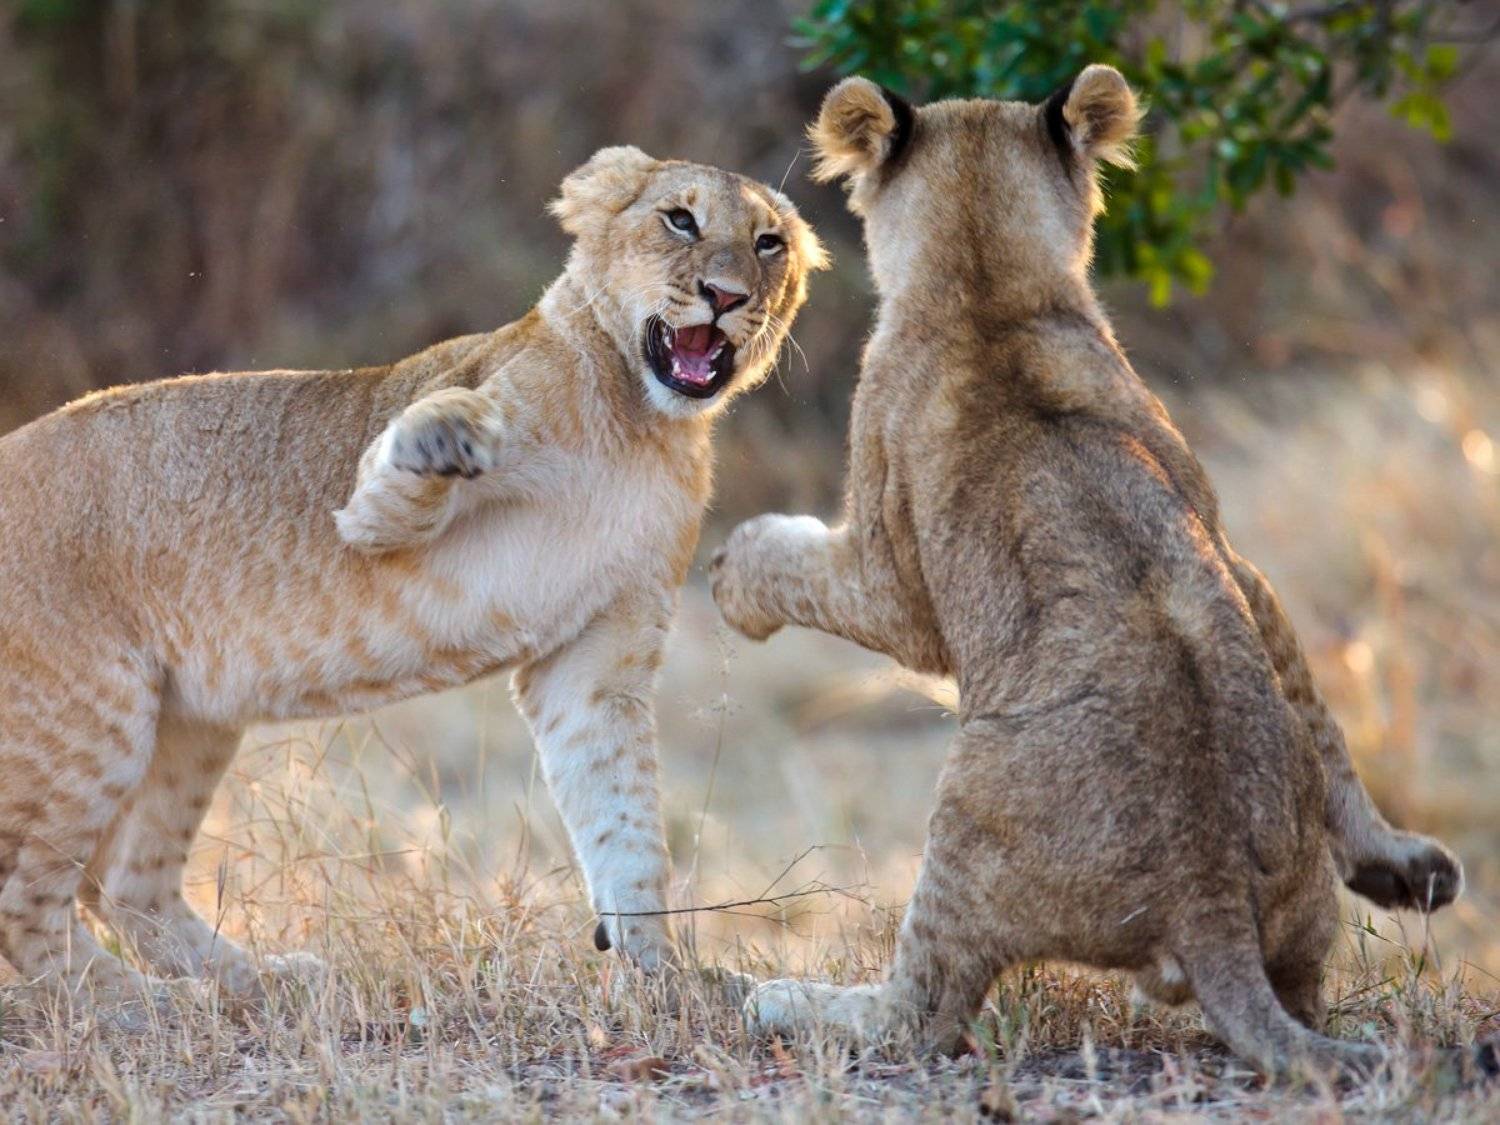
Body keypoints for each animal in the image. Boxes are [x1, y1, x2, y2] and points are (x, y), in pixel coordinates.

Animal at [0, 145, 825, 1012]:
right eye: (681, 219)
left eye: (769, 242)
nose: (726, 296)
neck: (640, 425)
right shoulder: (376, 508)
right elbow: (419, 450)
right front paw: (448, 436)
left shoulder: (599, 659)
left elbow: (626, 824)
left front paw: (666, 973)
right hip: (90, 717)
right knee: (26, 900)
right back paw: (140, 1005)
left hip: (187, 722)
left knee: (127, 885)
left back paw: (257, 982)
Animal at [709, 70, 1482, 1077]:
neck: (987, 283)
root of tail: (1208, 899)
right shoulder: (1234, 552)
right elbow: (1316, 701)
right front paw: (1397, 859)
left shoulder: (889, 569)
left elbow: (804, 568)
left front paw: (731, 568)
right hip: (1295, 913)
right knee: (1307, 990)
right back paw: (1406, 884)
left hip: (963, 811)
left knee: (918, 1014)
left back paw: (772, 996)